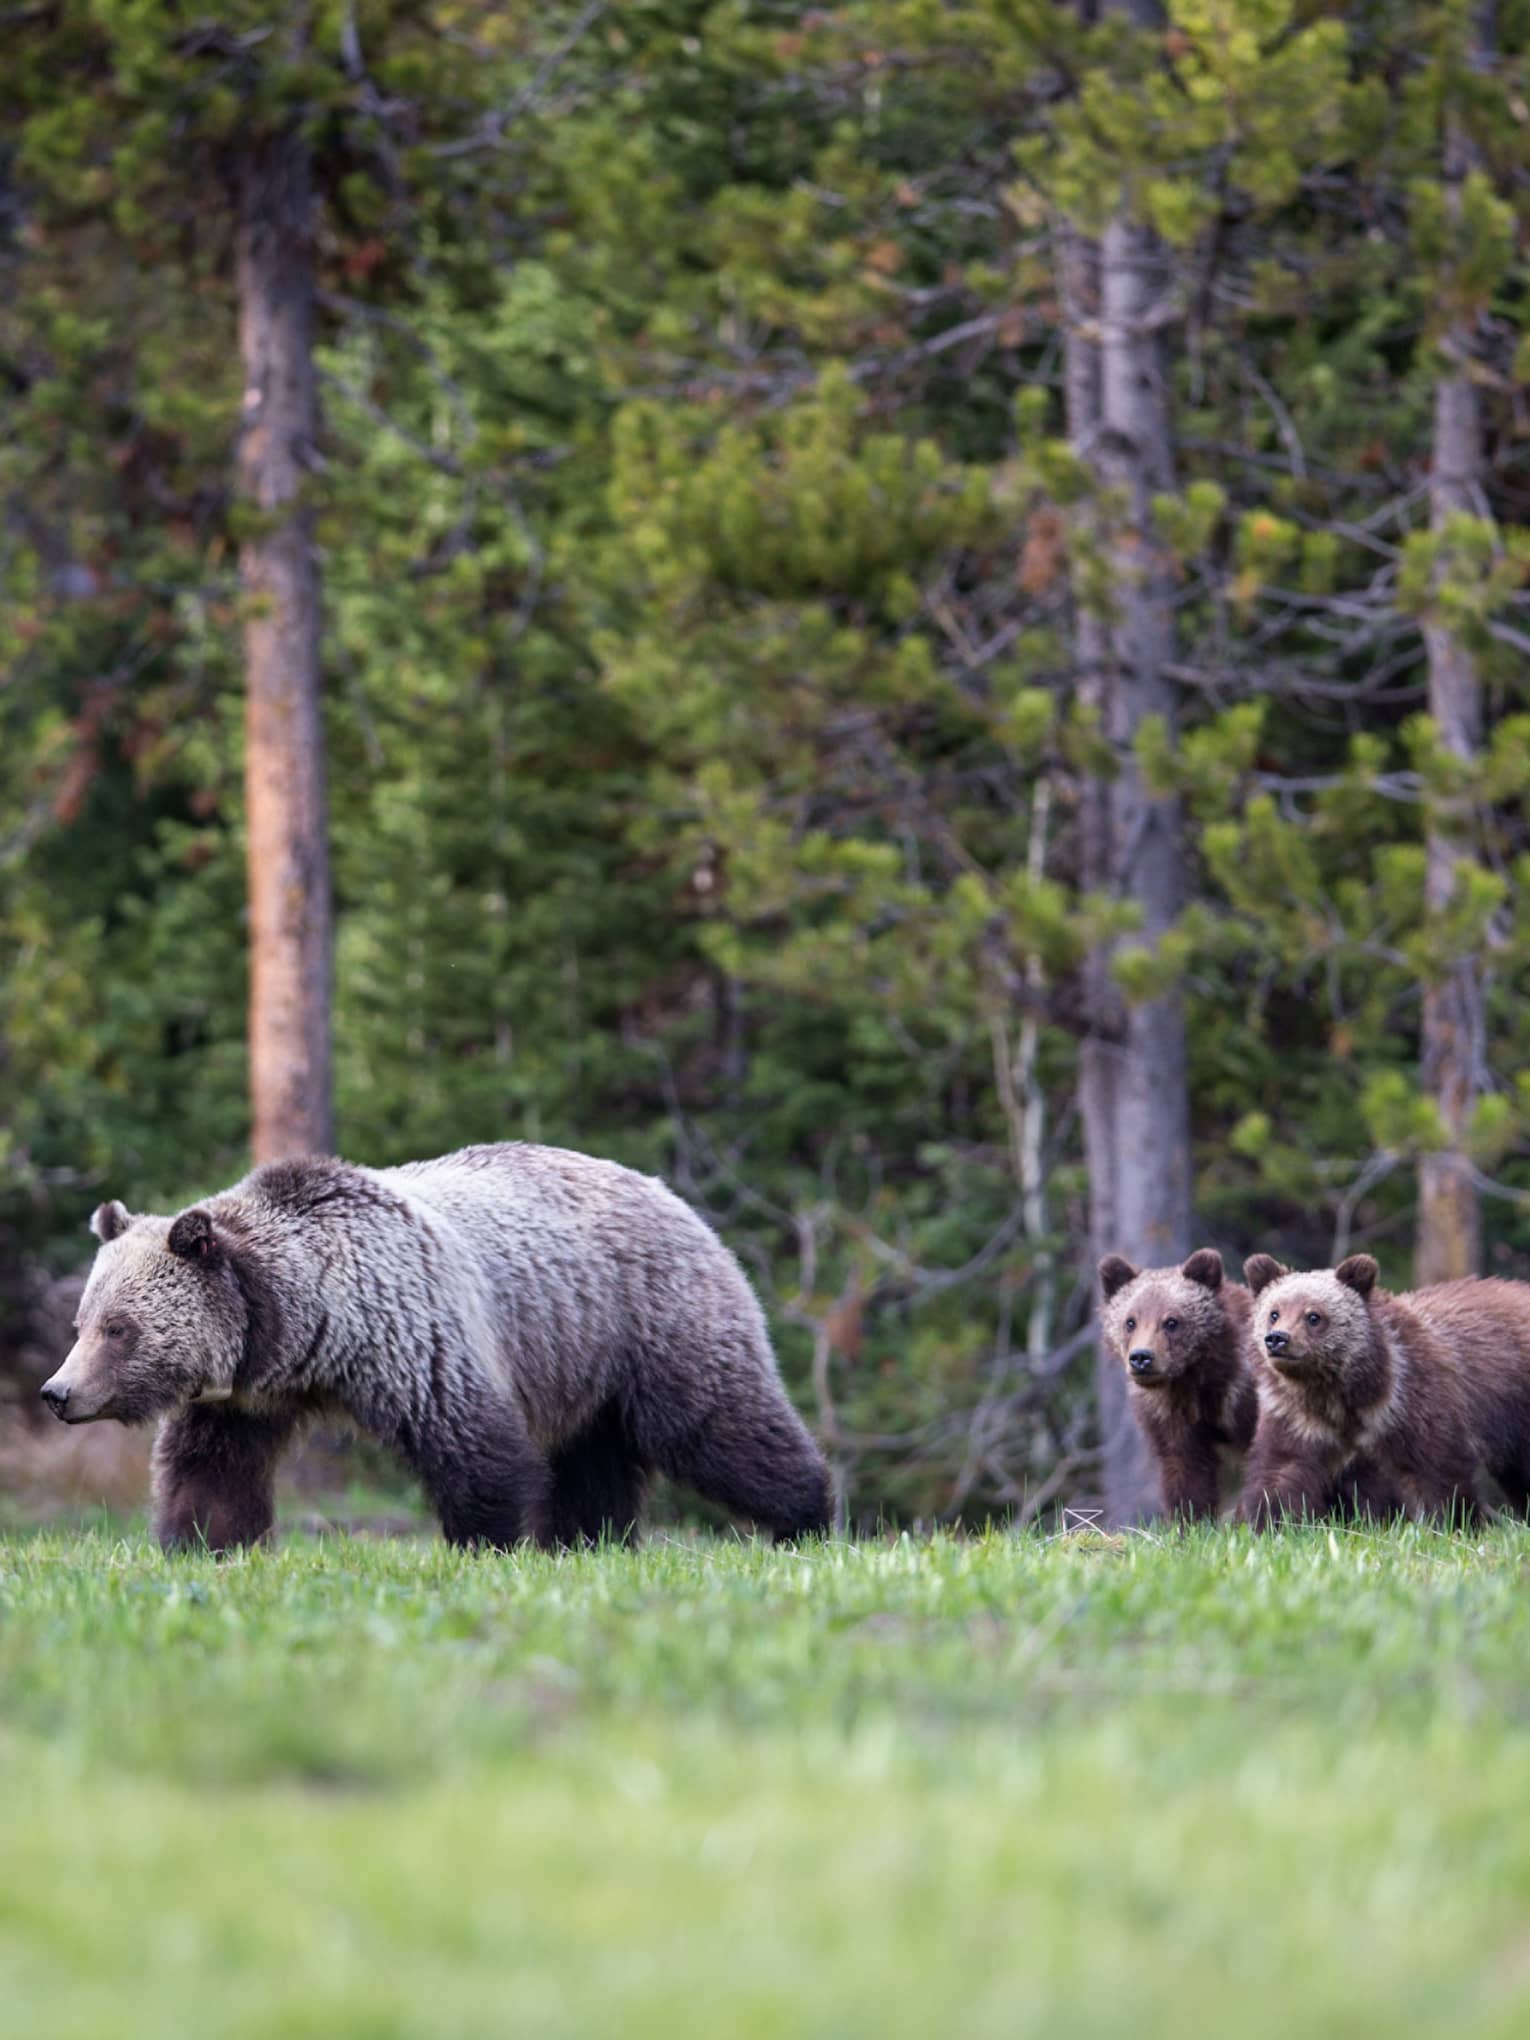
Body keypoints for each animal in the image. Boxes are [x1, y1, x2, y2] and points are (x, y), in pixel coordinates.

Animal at [38, 1143, 834, 1554]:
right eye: (82, 1322)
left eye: (119, 1328)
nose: (58, 1393)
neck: (304, 1323)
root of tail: (673, 1194)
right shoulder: (244, 1394)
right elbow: (212, 1468)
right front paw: (204, 1540)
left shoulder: (414, 1331)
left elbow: (474, 1446)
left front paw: (485, 1544)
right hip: (582, 1357)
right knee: (593, 1460)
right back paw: (588, 1540)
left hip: (650, 1322)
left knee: (718, 1424)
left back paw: (808, 1517)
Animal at [1097, 1248, 1259, 1520]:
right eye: (1130, 1321)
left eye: (1171, 1321)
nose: (1141, 1357)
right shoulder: (1170, 1414)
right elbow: (1185, 1469)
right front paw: (1191, 1520)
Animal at [1235, 1252, 1530, 1528]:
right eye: (1274, 1313)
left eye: (1314, 1316)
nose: (1277, 1339)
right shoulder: (1300, 1419)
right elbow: (1281, 1471)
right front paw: (1272, 1523)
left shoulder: (1411, 1403)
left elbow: (1433, 1472)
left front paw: (1451, 1523)